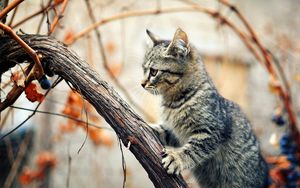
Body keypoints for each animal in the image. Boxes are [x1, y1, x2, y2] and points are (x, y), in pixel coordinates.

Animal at [142, 28, 268, 188]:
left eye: (153, 72)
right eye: (143, 69)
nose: (142, 84)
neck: (174, 101)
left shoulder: (211, 131)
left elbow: (193, 149)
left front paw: (177, 158)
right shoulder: (177, 132)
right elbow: (165, 131)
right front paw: (151, 127)